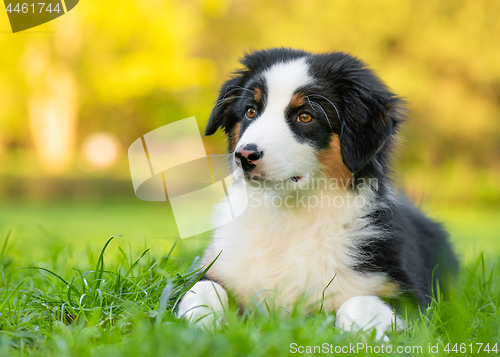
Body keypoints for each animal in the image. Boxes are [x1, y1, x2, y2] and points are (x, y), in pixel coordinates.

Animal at [177, 48, 458, 340]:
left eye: (306, 117)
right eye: (250, 111)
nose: (243, 155)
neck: (287, 217)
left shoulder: (410, 298)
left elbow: (357, 304)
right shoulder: (216, 267)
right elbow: (202, 290)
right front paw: (199, 328)